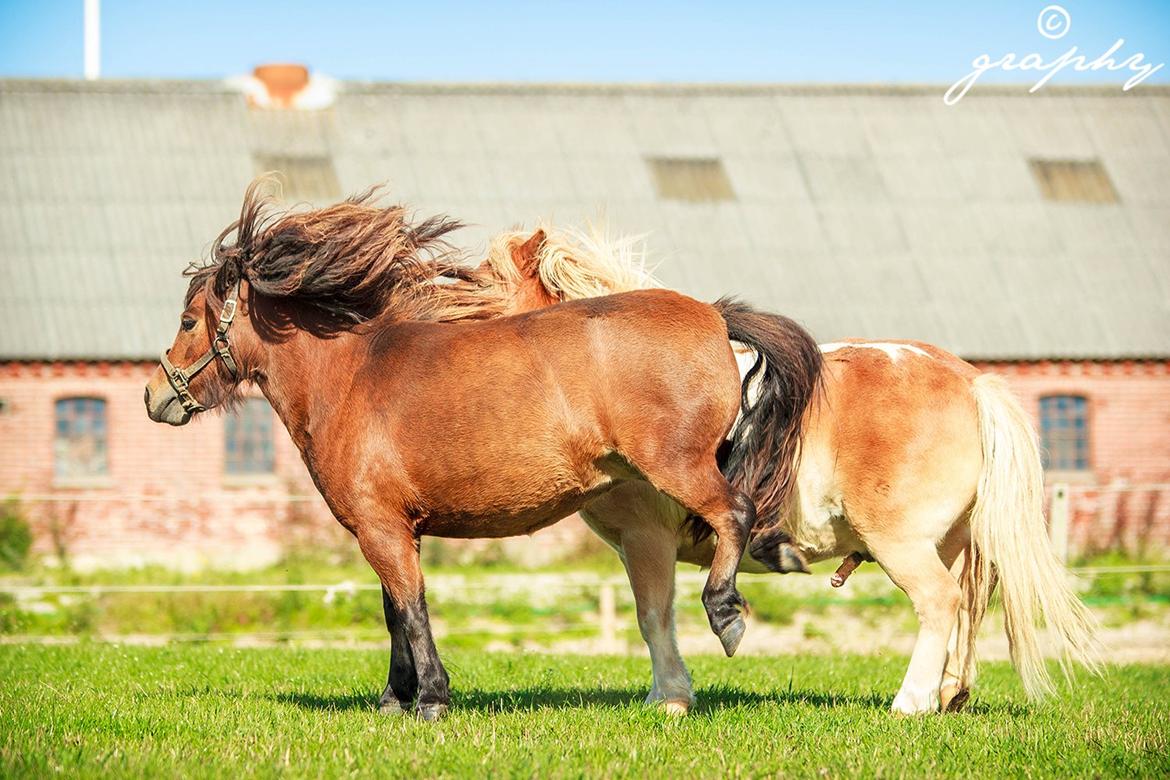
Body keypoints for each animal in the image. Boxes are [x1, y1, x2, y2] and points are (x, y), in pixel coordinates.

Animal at [143, 181, 823, 720]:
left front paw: (430, 701)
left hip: (678, 468)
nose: (155, 396)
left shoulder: (381, 529)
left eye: (187, 321)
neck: (351, 376)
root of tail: (713, 316)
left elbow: (412, 609)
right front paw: (394, 701)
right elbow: (395, 612)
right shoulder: (392, 528)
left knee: (734, 514)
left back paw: (727, 613)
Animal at [451, 224, 1099, 715]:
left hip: (904, 543)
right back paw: (950, 693)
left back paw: (911, 702)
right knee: (971, 605)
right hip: (958, 542)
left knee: (940, 604)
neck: (608, 369)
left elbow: (653, 616)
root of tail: (971, 382)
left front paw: (670, 699)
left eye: (476, 284)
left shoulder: (645, 539)